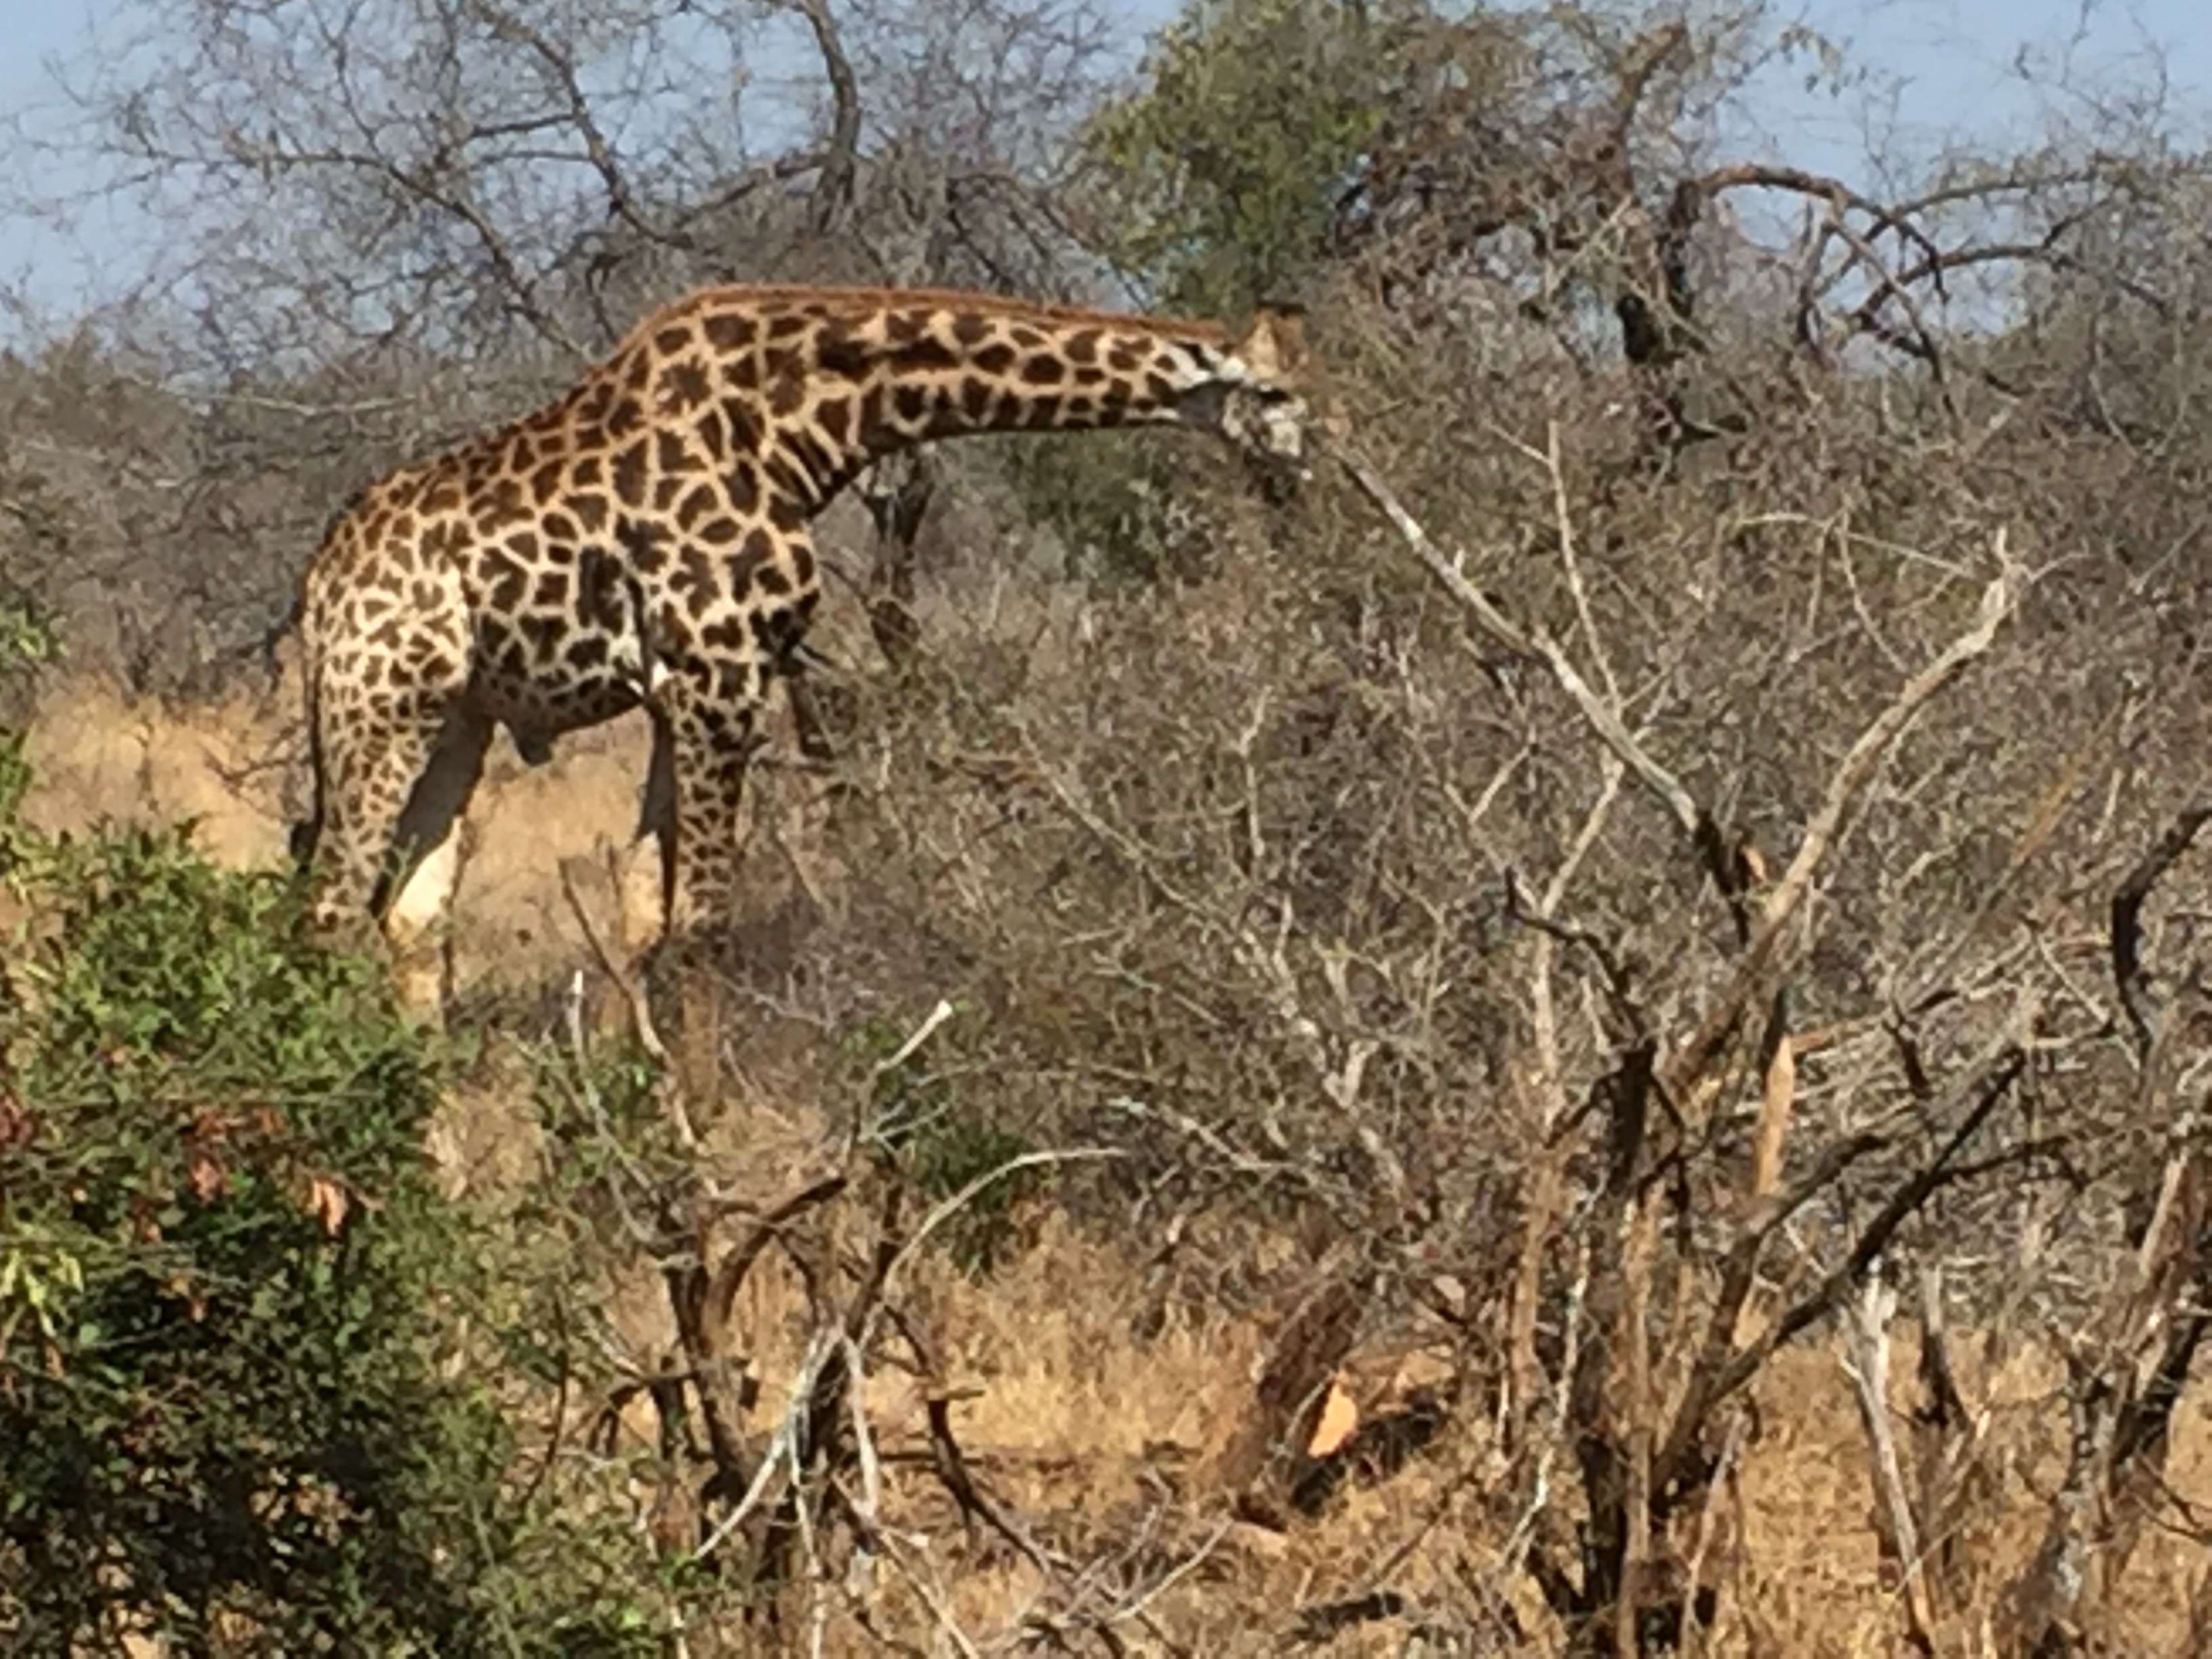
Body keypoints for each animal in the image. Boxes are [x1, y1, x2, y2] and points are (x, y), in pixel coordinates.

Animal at [289, 283, 1313, 1015]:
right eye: (1273, 393)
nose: (1297, 479)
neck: (800, 427)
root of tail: (316, 591)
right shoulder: (719, 676)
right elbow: (703, 927)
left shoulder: (687, 689)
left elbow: (643, 920)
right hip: (377, 711)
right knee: (327, 915)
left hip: (457, 721)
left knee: (411, 920)